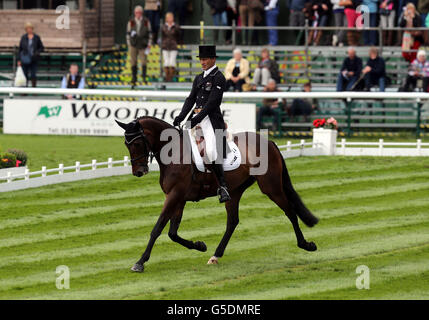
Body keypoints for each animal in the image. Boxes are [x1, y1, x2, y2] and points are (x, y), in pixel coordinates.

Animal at [114, 117, 318, 272]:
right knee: (232, 221)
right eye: (125, 144)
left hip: (271, 187)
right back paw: (215, 256)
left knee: (290, 212)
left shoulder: (174, 196)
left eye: (138, 143)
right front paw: (199, 245)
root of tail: (269, 143)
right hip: (235, 191)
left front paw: (140, 262)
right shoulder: (178, 199)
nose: (138, 172)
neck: (174, 153)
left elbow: (157, 228)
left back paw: (306, 244)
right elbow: (172, 232)